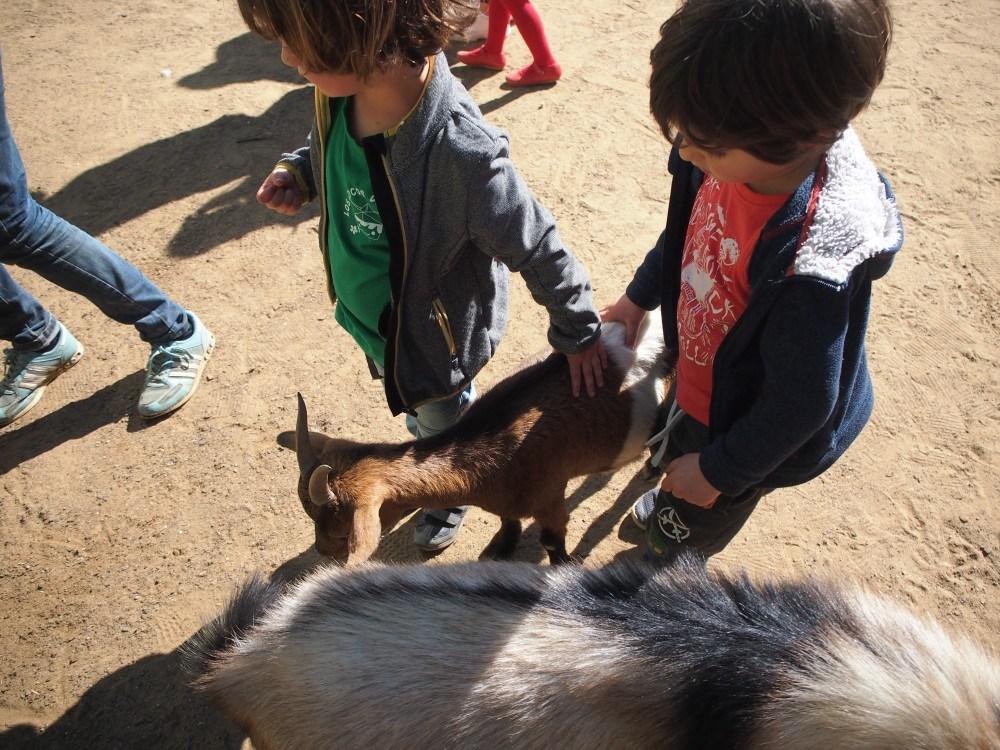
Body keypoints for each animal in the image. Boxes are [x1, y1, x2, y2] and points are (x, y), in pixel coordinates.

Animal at [281, 315, 670, 565]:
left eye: (342, 527)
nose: (322, 551)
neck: (500, 454)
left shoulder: (550, 499)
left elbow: (552, 543)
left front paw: (563, 568)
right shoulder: (509, 500)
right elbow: (508, 520)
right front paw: (501, 549)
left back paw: (654, 468)